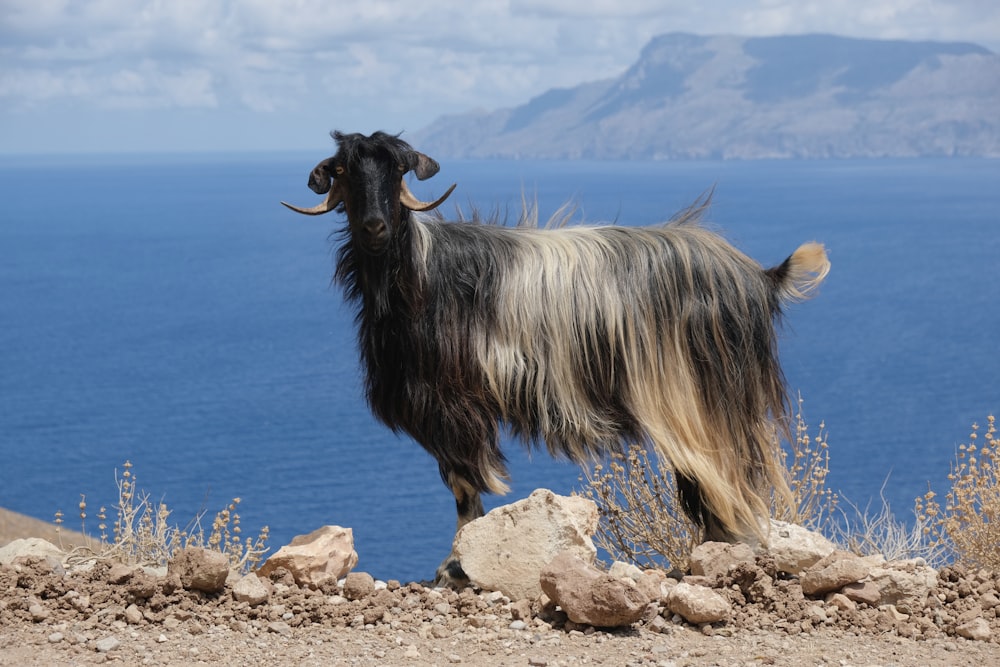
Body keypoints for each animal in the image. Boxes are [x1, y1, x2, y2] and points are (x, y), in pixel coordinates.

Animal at [280, 132, 828, 584]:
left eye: (397, 169)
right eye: (345, 169)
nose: (374, 226)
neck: (421, 276)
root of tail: (760, 277)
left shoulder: (455, 408)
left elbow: (465, 489)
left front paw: (453, 567)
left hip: (706, 403)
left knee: (725, 479)